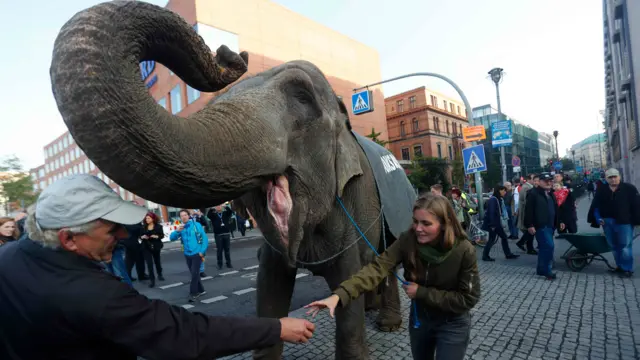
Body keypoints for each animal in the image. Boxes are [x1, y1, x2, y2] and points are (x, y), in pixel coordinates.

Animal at [48, 1, 416, 358]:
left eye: (302, 97)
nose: (230, 53)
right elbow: (269, 287)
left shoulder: (353, 205)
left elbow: (346, 282)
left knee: (386, 260)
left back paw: (387, 324)